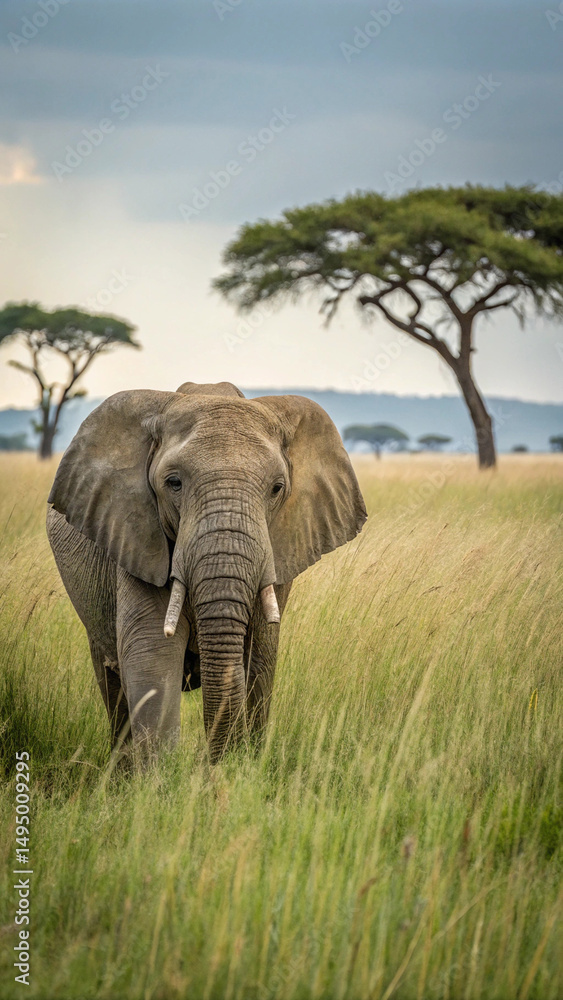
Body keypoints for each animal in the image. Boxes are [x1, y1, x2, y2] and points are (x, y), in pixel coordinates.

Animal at [46, 381, 367, 762]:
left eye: (277, 488)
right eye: (173, 483)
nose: (213, 763)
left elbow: (260, 659)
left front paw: (242, 765)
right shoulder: (137, 539)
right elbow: (150, 654)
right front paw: (162, 775)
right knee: (112, 683)